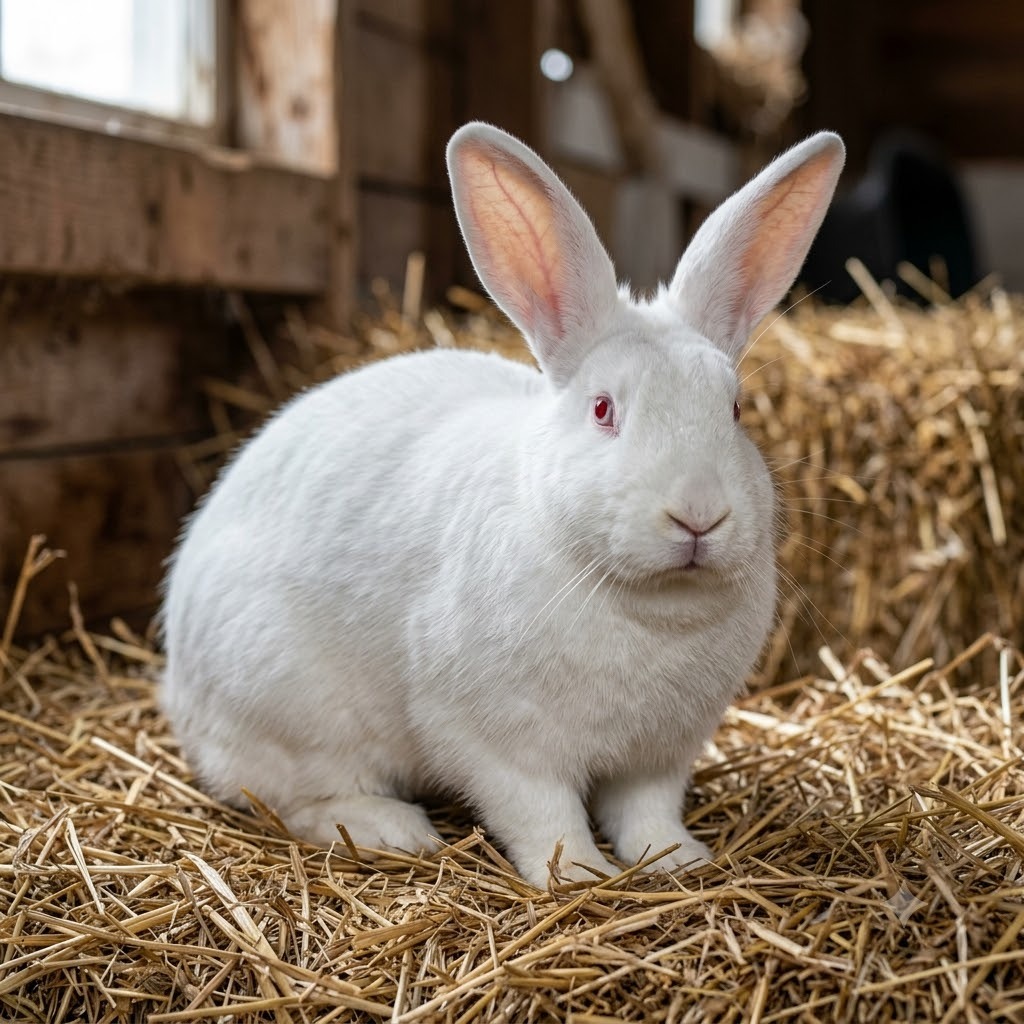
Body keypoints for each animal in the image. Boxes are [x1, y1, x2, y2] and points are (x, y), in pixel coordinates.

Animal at [160, 122, 844, 888]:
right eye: (603, 409)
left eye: (734, 410)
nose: (698, 515)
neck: (649, 607)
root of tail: (177, 685)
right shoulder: (496, 741)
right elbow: (543, 814)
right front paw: (579, 876)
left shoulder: (661, 754)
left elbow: (647, 813)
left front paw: (677, 861)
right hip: (290, 708)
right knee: (296, 798)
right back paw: (394, 829)